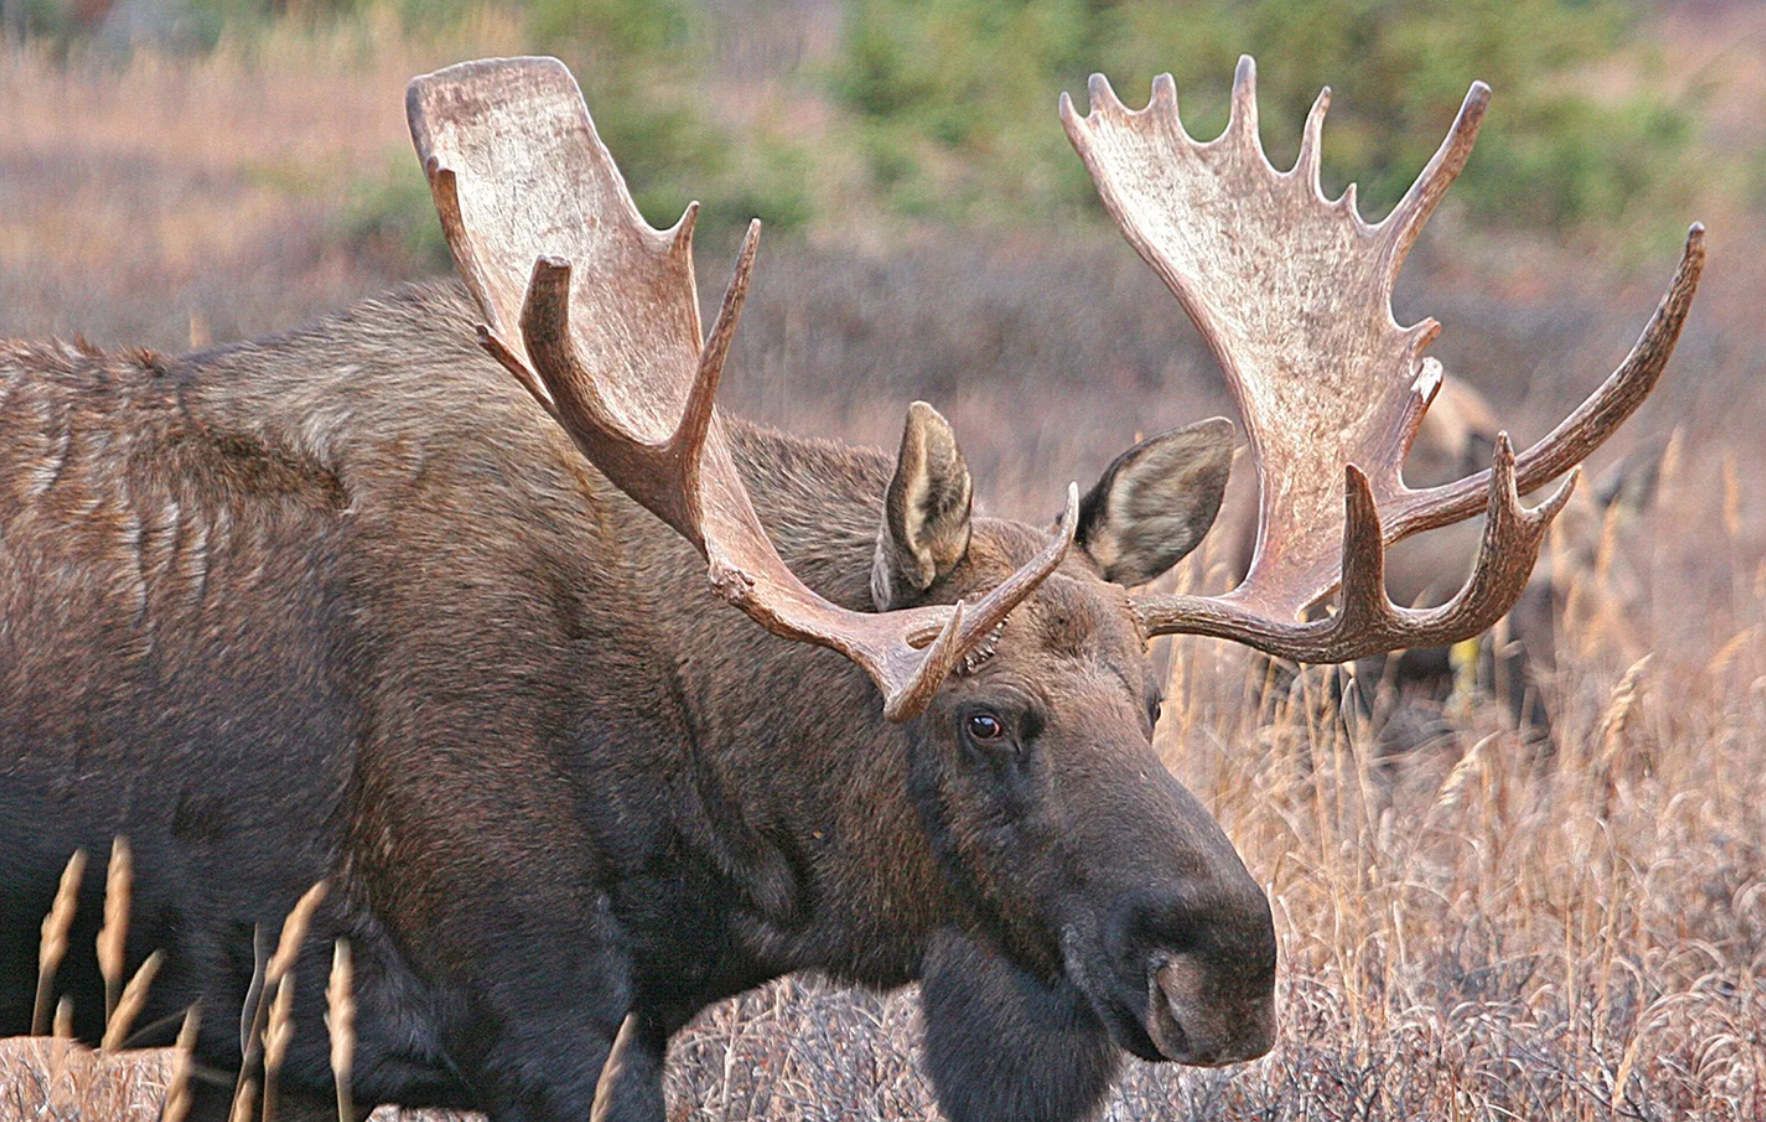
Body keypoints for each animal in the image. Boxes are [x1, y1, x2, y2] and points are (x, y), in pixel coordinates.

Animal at [0, 56, 1702, 1122]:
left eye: (1156, 701)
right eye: (987, 718)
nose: (1230, 960)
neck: (714, 831)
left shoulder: (273, 1038)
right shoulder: (539, 1014)